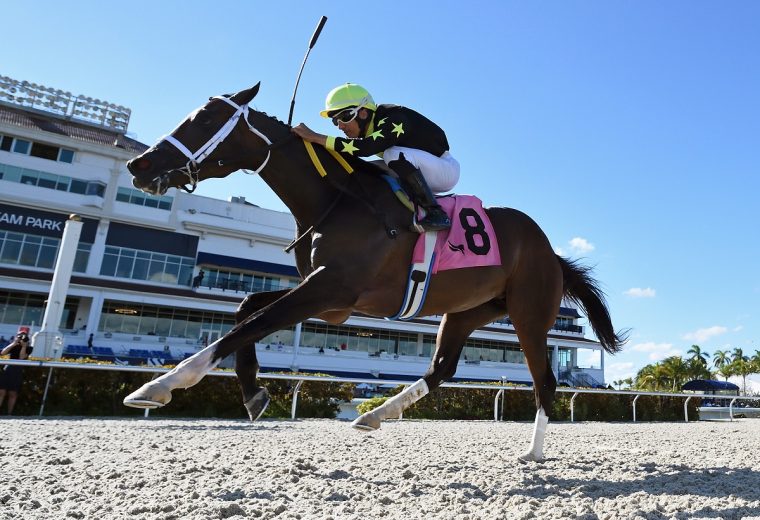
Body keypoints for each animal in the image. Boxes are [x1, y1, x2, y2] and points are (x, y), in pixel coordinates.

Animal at [123, 83, 624, 462]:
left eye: (206, 120)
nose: (138, 164)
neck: (335, 199)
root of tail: (550, 251)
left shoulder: (332, 290)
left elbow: (249, 324)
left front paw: (161, 383)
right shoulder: (330, 299)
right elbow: (248, 309)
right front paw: (253, 394)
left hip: (529, 314)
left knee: (545, 381)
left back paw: (534, 452)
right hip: (467, 311)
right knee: (441, 368)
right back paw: (376, 414)